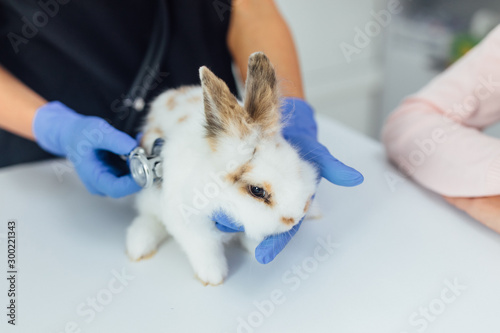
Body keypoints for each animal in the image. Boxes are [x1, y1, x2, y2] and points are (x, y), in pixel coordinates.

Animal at [127, 52, 318, 286]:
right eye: (257, 191)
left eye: (296, 164)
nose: (294, 218)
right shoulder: (187, 223)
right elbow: (204, 248)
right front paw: (213, 276)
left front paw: (254, 247)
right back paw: (137, 246)